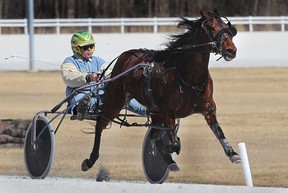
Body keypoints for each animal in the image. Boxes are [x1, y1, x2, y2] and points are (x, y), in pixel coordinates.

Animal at [81, 9, 241, 172]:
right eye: (210, 26)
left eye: (226, 27)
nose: (231, 50)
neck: (188, 77)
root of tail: (125, 56)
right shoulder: (168, 111)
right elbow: (173, 142)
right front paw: (173, 146)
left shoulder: (208, 108)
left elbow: (218, 131)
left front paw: (232, 153)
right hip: (116, 100)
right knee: (100, 124)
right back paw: (90, 160)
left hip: (153, 110)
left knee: (153, 133)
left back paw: (170, 161)